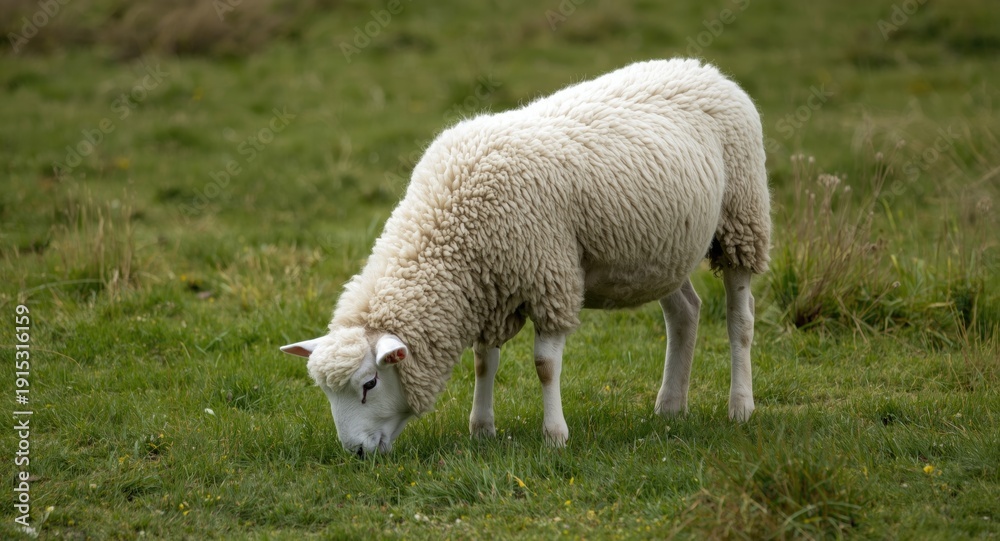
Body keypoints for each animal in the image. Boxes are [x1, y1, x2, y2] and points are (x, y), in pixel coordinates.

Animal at [281, 58, 771, 456]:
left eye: (368, 384)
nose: (356, 453)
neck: (451, 217)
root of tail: (707, 70)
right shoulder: (490, 286)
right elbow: (484, 361)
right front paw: (481, 429)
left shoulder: (549, 276)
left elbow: (545, 366)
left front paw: (555, 436)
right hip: (663, 251)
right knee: (685, 312)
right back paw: (670, 406)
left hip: (742, 221)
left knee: (740, 317)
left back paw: (741, 407)